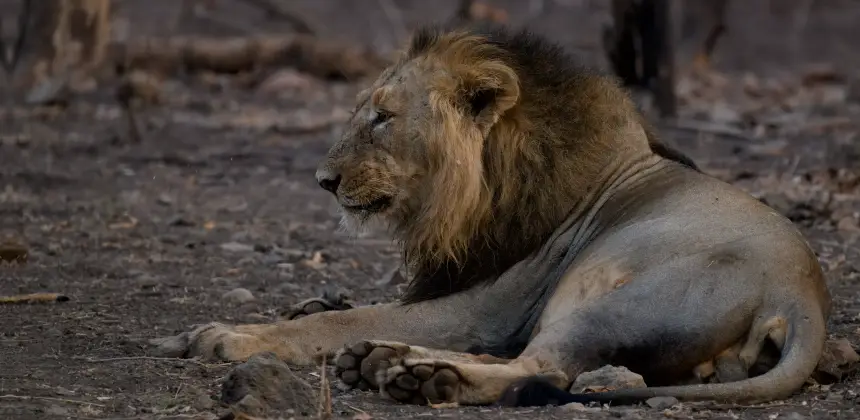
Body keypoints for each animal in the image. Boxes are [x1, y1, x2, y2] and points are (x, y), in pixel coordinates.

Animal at [151, 25, 831, 407]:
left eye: (382, 117)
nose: (323, 180)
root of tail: (802, 297)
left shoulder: (488, 306)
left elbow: (335, 323)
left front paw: (228, 334)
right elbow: (348, 311)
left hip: (613, 303)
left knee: (542, 368)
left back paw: (419, 376)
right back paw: (384, 361)